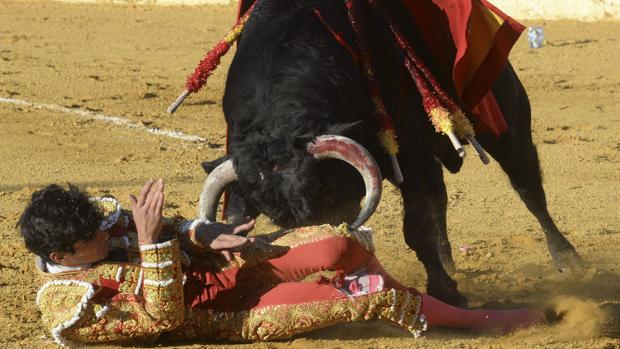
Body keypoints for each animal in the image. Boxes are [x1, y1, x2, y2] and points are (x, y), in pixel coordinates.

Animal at [202, 0, 580, 304]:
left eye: (326, 195)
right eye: (277, 218)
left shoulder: (411, 152)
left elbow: (417, 226)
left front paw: (447, 293)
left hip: (504, 118)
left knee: (527, 185)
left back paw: (566, 258)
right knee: (442, 199)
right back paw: (448, 259)